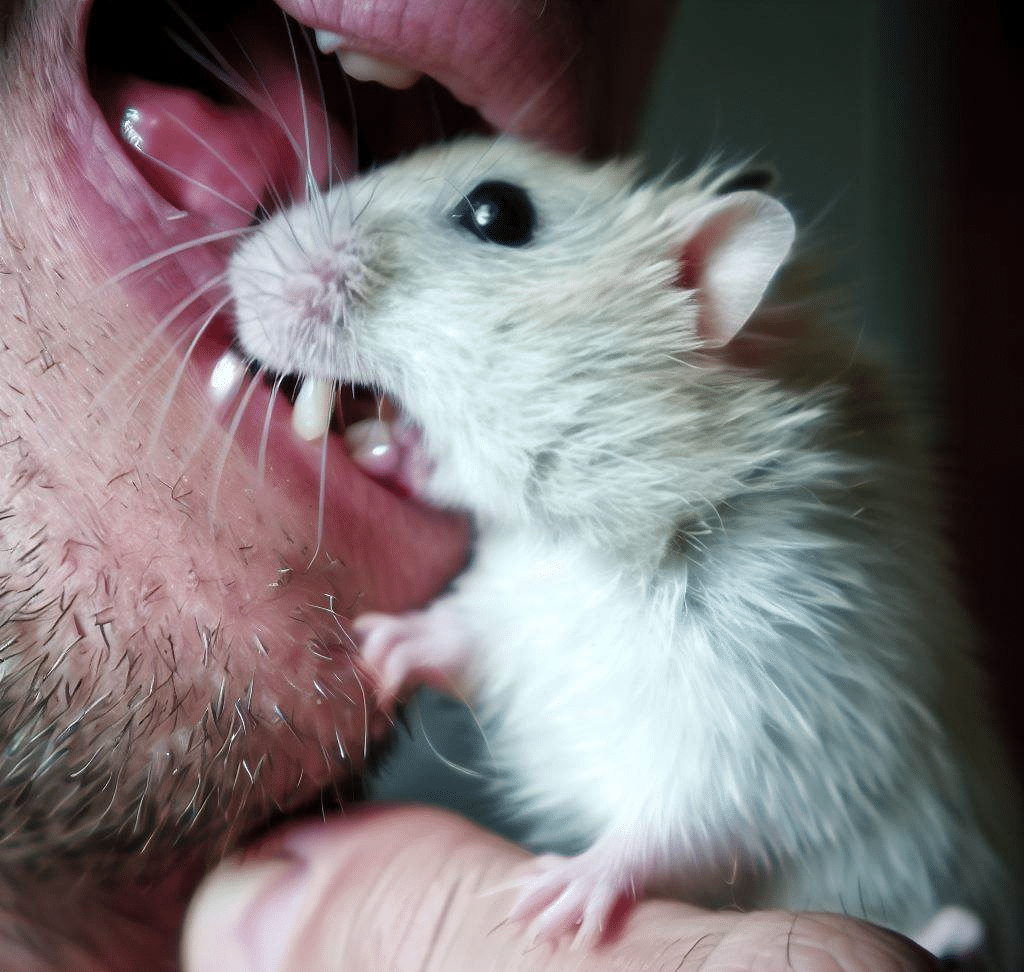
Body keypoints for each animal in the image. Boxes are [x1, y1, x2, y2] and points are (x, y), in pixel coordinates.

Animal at [230, 134, 1024, 962]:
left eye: (497, 212)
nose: (239, 271)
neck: (599, 545)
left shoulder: (769, 711)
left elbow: (685, 823)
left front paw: (557, 897)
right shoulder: (515, 603)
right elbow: (464, 631)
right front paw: (381, 647)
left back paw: (946, 930)